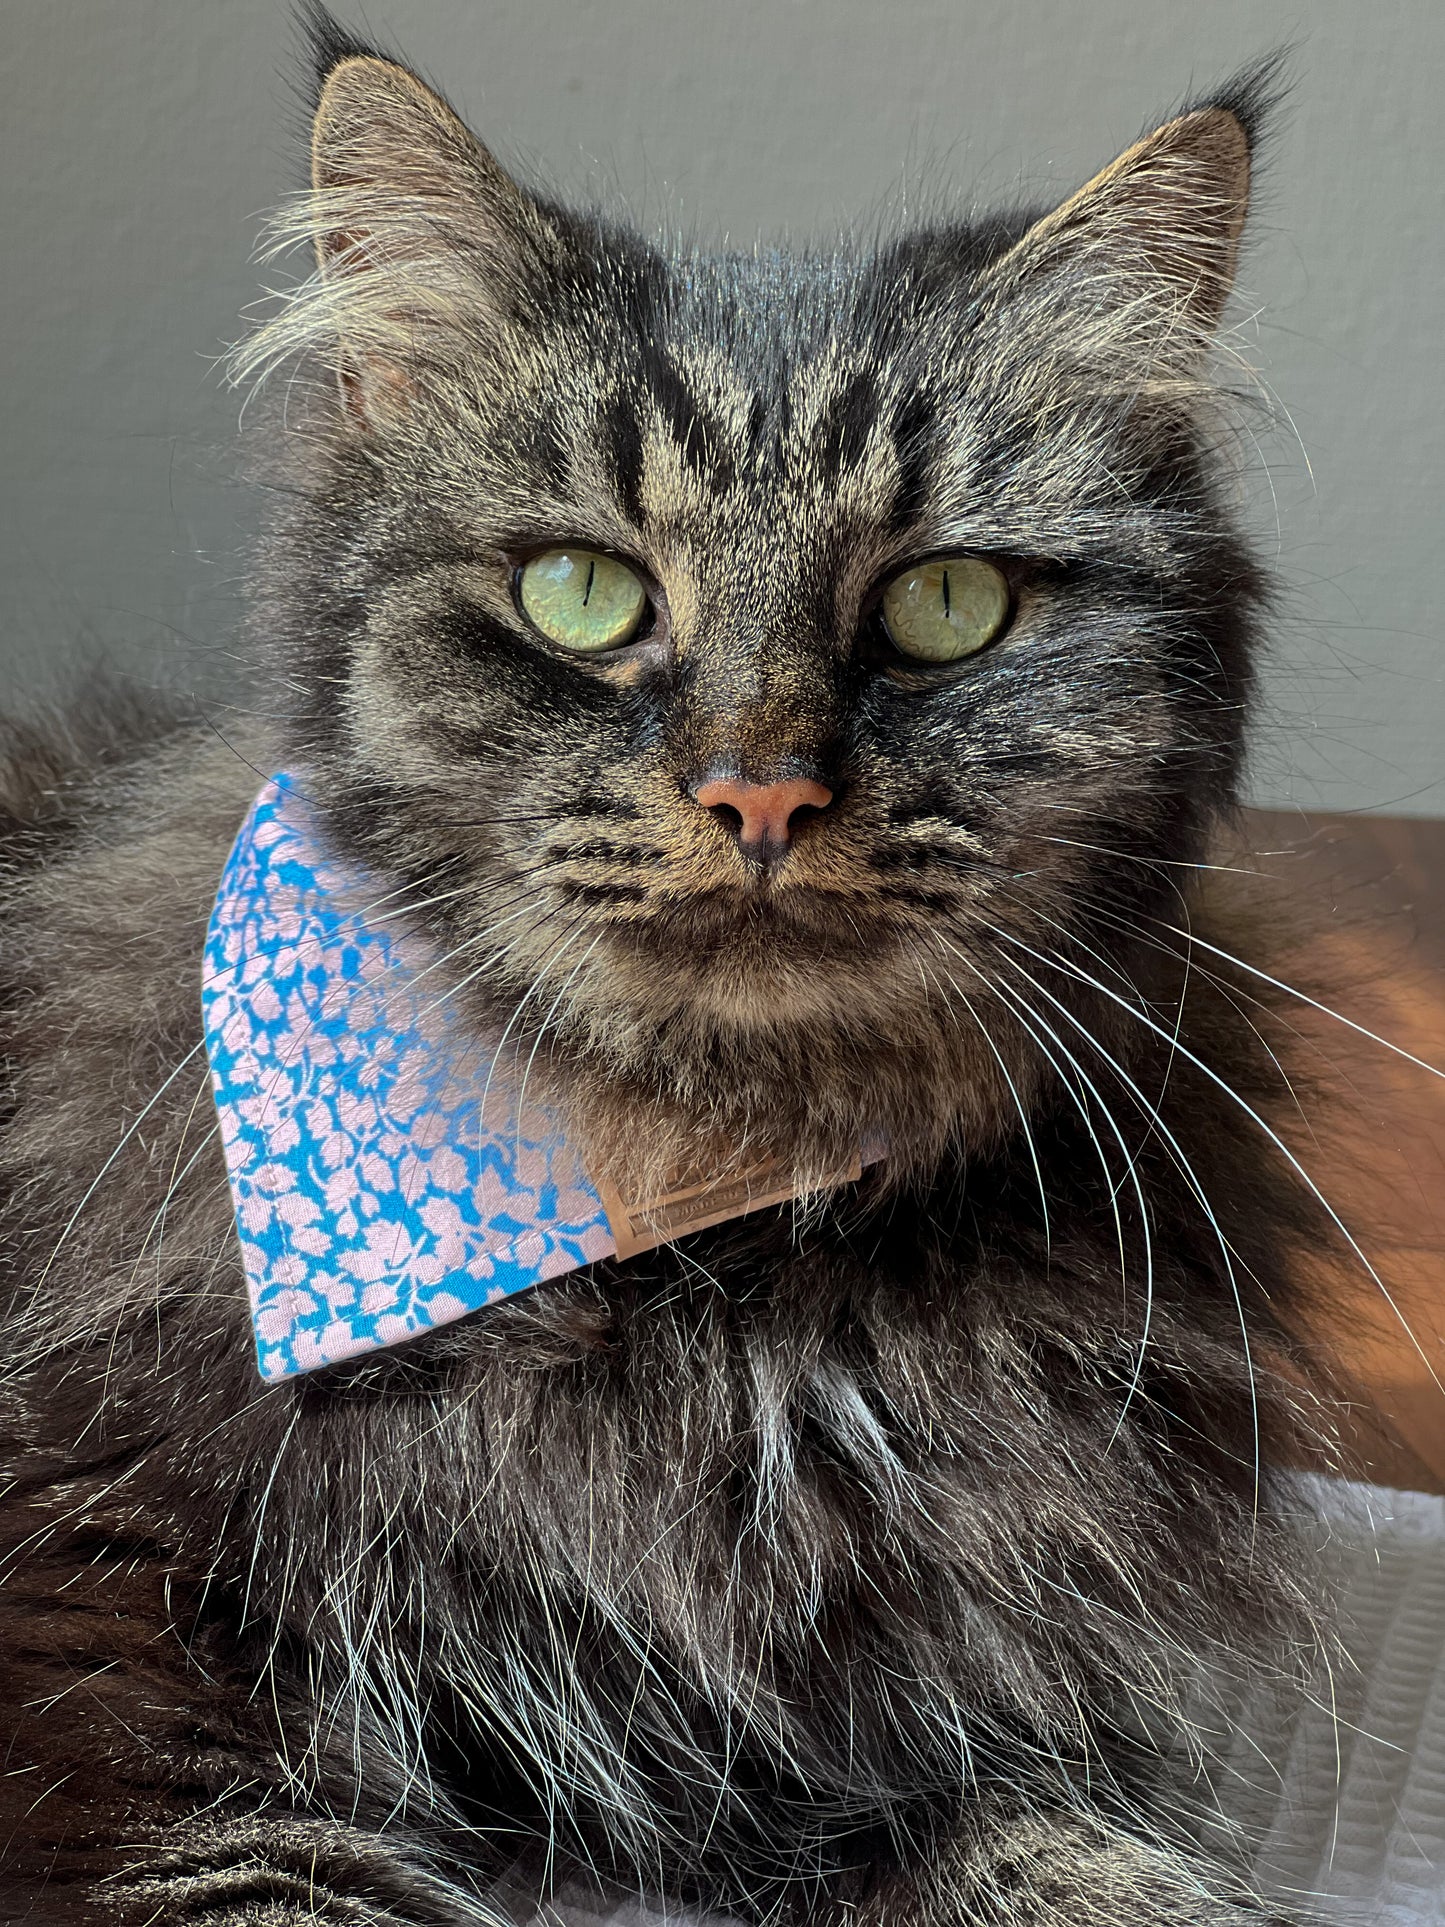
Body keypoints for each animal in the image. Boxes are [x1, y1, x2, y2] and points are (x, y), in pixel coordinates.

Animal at [5, 15, 1356, 1927]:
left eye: (947, 604)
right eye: (581, 591)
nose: (761, 789)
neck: (702, 1260)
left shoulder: (941, 1697)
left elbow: (1081, 1865)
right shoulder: (99, 1601)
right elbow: (249, 1868)